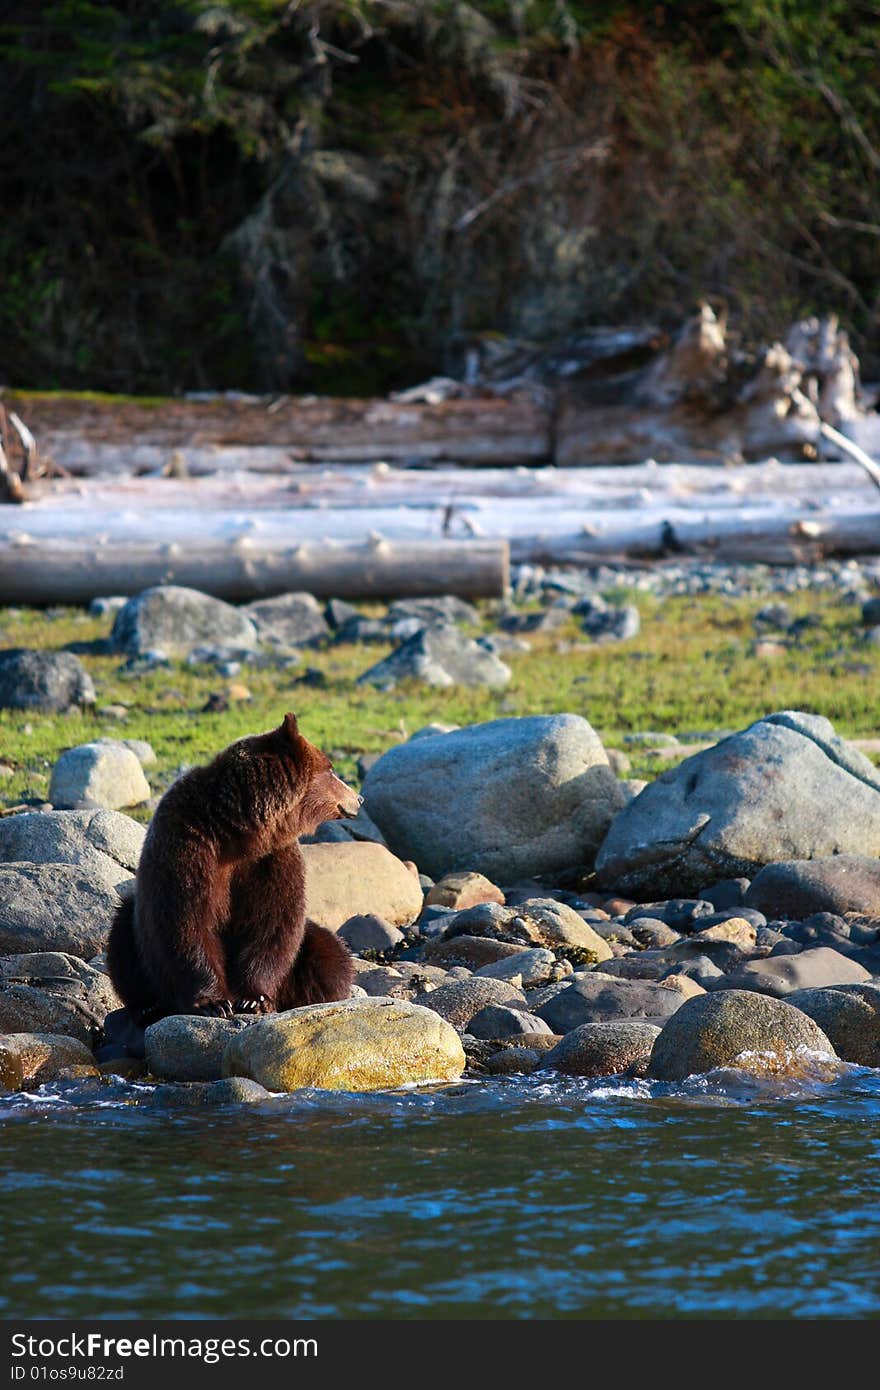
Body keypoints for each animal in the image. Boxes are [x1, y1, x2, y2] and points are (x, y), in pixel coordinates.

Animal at [107, 711, 361, 1028]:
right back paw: (147, 1007)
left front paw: (255, 998)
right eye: (332, 770)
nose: (359, 799)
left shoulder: (270, 859)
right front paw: (213, 1002)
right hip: (136, 933)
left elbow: (272, 923)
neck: (238, 832)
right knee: (123, 942)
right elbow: (186, 920)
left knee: (330, 955)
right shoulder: (188, 845)